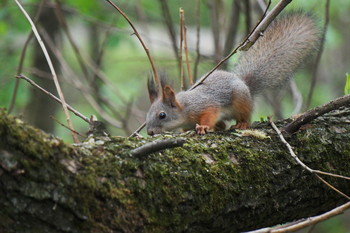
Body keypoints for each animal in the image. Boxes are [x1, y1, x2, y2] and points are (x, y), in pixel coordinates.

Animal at [145, 12, 320, 136]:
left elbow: (209, 114)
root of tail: (245, 84)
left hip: (241, 102)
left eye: (162, 115)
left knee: (245, 115)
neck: (184, 108)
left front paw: (202, 126)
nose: (150, 132)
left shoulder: (205, 106)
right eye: (148, 114)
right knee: (223, 124)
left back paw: (242, 124)